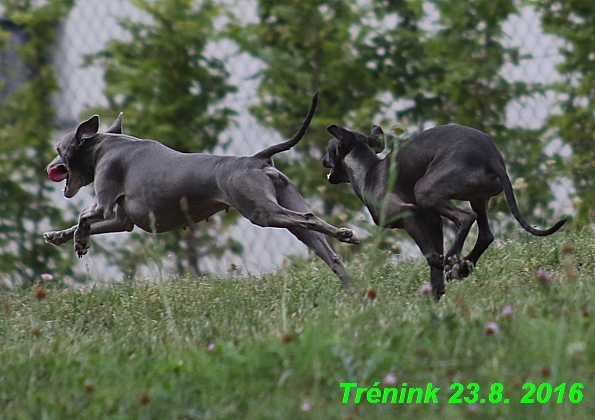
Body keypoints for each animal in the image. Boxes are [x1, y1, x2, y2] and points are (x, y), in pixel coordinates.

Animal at [44, 91, 358, 290]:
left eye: (59, 149)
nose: (49, 167)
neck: (104, 145)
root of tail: (256, 158)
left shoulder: (104, 202)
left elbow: (83, 215)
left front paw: (79, 241)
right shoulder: (123, 221)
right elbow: (84, 224)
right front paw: (59, 236)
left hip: (263, 212)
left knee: (309, 219)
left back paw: (346, 234)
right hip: (285, 207)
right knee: (328, 251)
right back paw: (355, 292)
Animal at [324, 123, 564, 300]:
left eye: (328, 149)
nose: (322, 160)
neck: (368, 172)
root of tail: (491, 156)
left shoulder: (409, 216)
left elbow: (432, 257)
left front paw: (449, 265)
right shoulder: (433, 221)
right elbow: (434, 266)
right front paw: (436, 294)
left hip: (426, 190)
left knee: (466, 219)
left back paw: (455, 261)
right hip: (477, 197)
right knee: (485, 234)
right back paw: (464, 262)